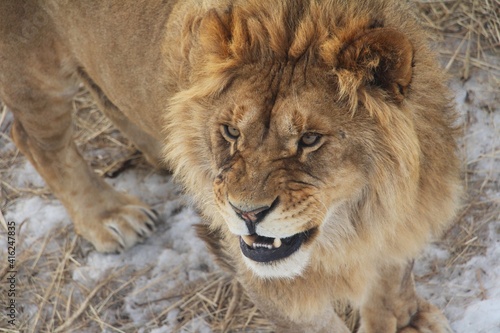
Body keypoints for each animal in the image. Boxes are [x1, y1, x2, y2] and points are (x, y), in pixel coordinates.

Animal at [0, 0, 460, 330]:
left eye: (310, 139)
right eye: (231, 132)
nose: (247, 213)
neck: (357, 216)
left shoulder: (404, 219)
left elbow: (392, 282)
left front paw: (405, 321)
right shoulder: (267, 281)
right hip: (33, 71)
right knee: (33, 139)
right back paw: (109, 216)